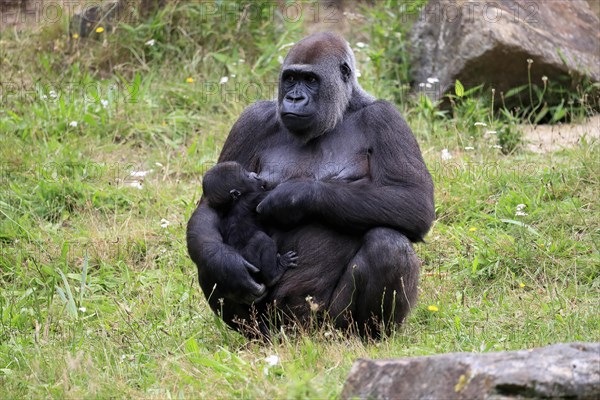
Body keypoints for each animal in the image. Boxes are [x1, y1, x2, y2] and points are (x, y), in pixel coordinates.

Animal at [202, 161, 298, 290]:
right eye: (247, 176)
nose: (255, 174)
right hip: (252, 263)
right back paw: (275, 274)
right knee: (262, 239)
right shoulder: (252, 197)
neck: (233, 203)